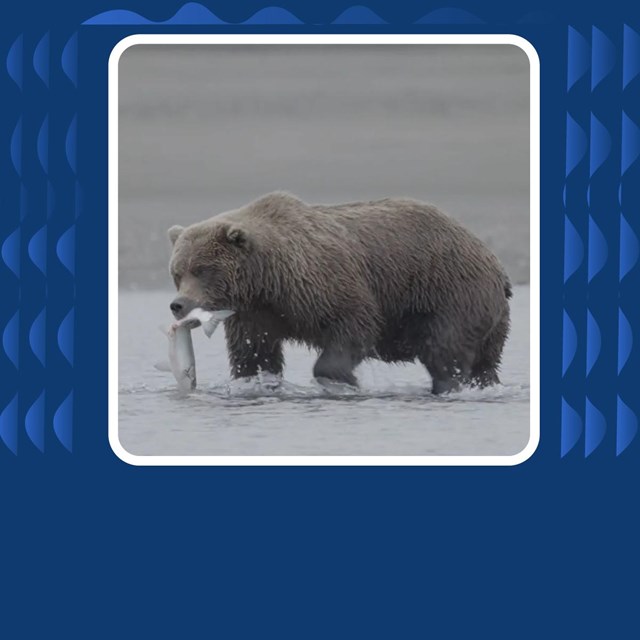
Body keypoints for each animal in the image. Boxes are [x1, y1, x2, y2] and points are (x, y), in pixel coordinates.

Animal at [167, 191, 512, 394]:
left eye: (202, 270)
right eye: (177, 273)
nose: (178, 304)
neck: (268, 280)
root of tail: (491, 256)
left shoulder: (319, 284)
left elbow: (354, 323)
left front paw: (341, 380)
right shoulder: (254, 313)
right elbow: (254, 352)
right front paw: (253, 382)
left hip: (449, 290)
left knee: (444, 349)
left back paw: (449, 385)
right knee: (485, 360)